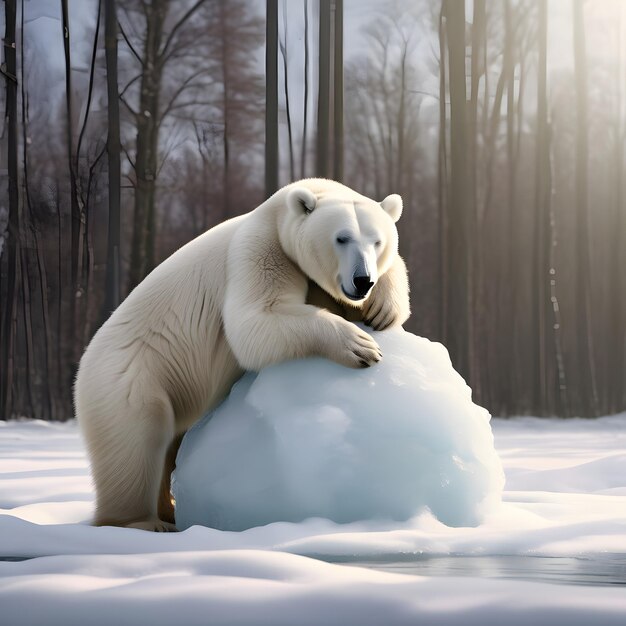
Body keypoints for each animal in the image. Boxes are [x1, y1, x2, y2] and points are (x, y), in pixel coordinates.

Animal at [74, 178, 410, 528]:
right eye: (341, 238)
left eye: (377, 241)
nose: (363, 280)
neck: (279, 211)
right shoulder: (260, 250)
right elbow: (255, 322)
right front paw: (360, 345)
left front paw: (383, 308)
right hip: (131, 375)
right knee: (136, 441)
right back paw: (141, 521)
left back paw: (169, 509)